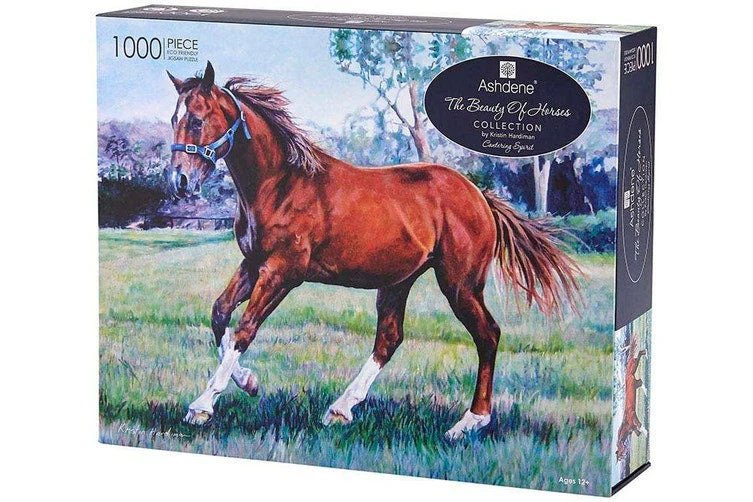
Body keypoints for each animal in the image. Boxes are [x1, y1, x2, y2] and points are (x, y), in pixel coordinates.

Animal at [166, 61, 580, 439]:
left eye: (198, 121)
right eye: (174, 117)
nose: (179, 180)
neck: (282, 185)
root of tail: (480, 197)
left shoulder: (282, 272)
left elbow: (245, 330)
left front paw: (202, 406)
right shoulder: (253, 264)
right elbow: (220, 314)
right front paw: (249, 383)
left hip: (460, 285)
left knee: (488, 335)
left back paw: (468, 423)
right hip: (399, 282)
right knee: (390, 339)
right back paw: (340, 409)